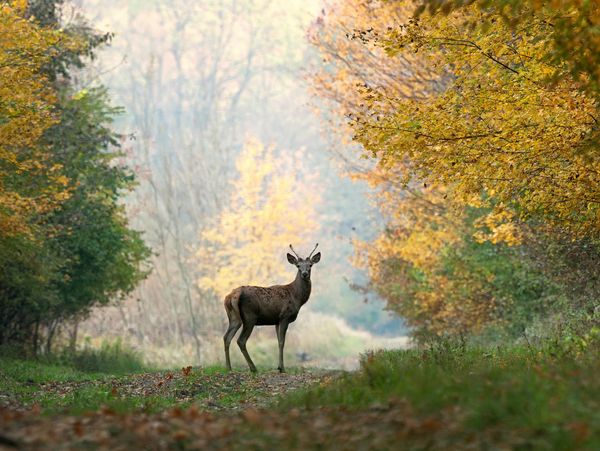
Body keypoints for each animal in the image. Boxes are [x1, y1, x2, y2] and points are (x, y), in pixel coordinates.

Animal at [223, 244, 322, 374]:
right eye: (298, 266)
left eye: (310, 265)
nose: (304, 273)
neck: (297, 298)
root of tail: (232, 295)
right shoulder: (285, 316)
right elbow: (282, 342)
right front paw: (282, 368)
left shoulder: (276, 320)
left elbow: (278, 341)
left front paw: (279, 367)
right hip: (250, 316)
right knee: (241, 340)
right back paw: (253, 368)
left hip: (233, 317)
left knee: (226, 337)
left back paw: (229, 367)